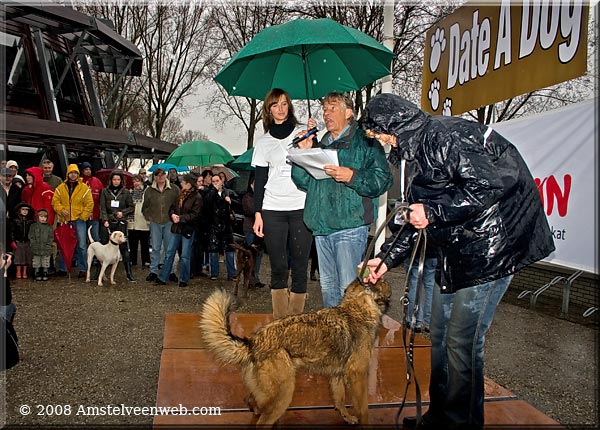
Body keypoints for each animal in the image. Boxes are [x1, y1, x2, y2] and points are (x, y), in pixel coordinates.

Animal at [199, 278, 392, 424]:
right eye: (382, 281)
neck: (357, 309)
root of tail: (254, 342)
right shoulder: (358, 375)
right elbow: (363, 408)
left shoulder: (336, 375)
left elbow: (340, 399)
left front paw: (346, 416)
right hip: (284, 393)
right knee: (262, 420)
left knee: (252, 402)